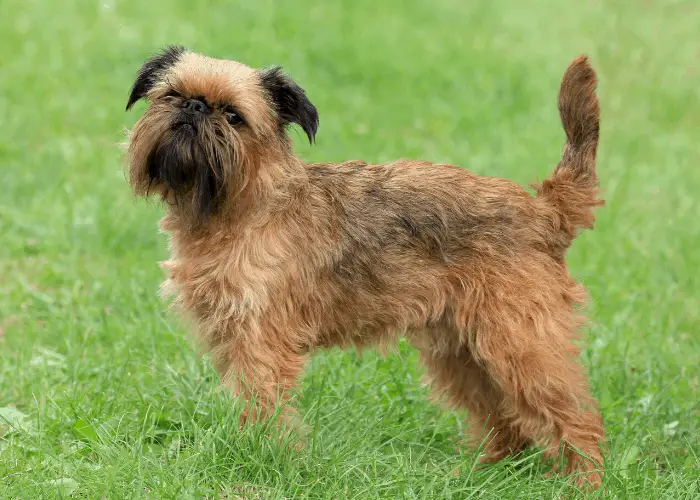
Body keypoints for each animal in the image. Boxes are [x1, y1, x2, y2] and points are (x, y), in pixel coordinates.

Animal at [126, 47, 608, 484]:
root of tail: (544, 210)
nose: (193, 107)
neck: (239, 206)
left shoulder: (260, 342)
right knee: (504, 419)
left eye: (232, 116)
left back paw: (582, 483)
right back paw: (482, 475)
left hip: (521, 343)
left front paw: (259, 461)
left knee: (576, 417)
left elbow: (261, 406)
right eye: (170, 95)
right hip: (461, 351)